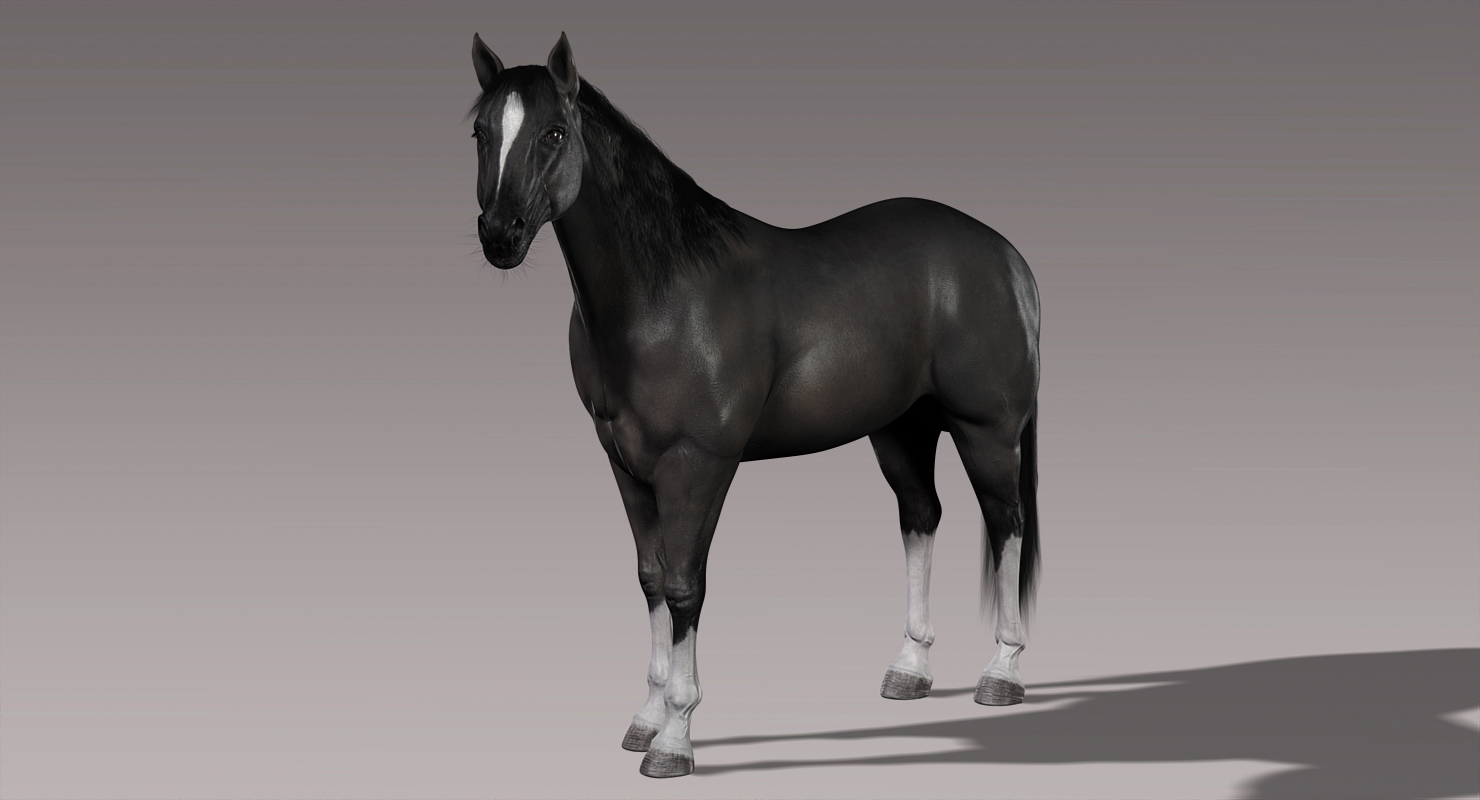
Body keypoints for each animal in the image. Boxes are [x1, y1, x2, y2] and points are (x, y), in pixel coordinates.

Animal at [468, 32, 1041, 778]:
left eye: (554, 133)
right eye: (480, 131)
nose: (499, 235)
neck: (662, 295)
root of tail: (1007, 258)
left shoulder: (698, 464)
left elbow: (685, 585)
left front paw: (674, 739)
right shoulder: (625, 463)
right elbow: (651, 579)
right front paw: (644, 719)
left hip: (987, 431)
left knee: (1006, 523)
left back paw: (1002, 674)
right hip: (900, 430)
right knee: (922, 517)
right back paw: (909, 670)